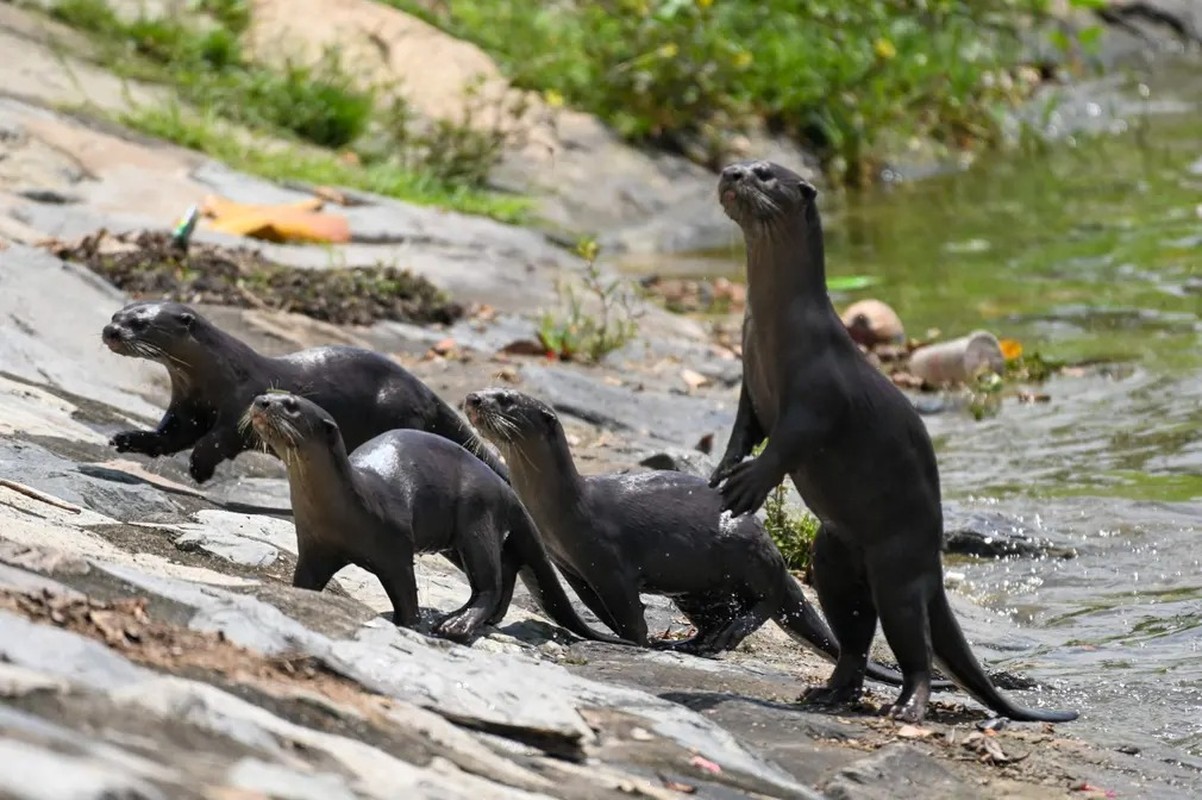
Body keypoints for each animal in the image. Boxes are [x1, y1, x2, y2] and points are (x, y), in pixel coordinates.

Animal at [97, 299, 502, 482]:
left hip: (398, 409)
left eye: (139, 323)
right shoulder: (186, 408)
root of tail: (426, 393)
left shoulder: (242, 403)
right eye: (117, 314)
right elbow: (168, 436)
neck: (217, 377)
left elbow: (218, 440)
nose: (110, 330)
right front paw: (126, 439)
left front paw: (198, 468)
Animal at [250, 389, 634, 643]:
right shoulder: (314, 547)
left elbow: (406, 591)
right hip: (455, 543)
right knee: (505, 570)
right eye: (270, 393)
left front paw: (409, 625)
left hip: (476, 517)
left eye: (291, 406)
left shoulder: (395, 549)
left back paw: (457, 625)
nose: (261, 402)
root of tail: (507, 489)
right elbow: (306, 579)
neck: (346, 506)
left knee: (489, 583)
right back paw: (486, 619)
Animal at [463, 386, 913, 687]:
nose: (473, 398)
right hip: (700, 591)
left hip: (747, 552)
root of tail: (770, 544)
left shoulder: (608, 561)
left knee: (768, 598)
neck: (565, 510)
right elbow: (603, 609)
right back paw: (693, 644)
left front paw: (638, 643)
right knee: (719, 615)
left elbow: (629, 614)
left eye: (505, 398)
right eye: (488, 389)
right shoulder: (571, 566)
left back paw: (728, 634)